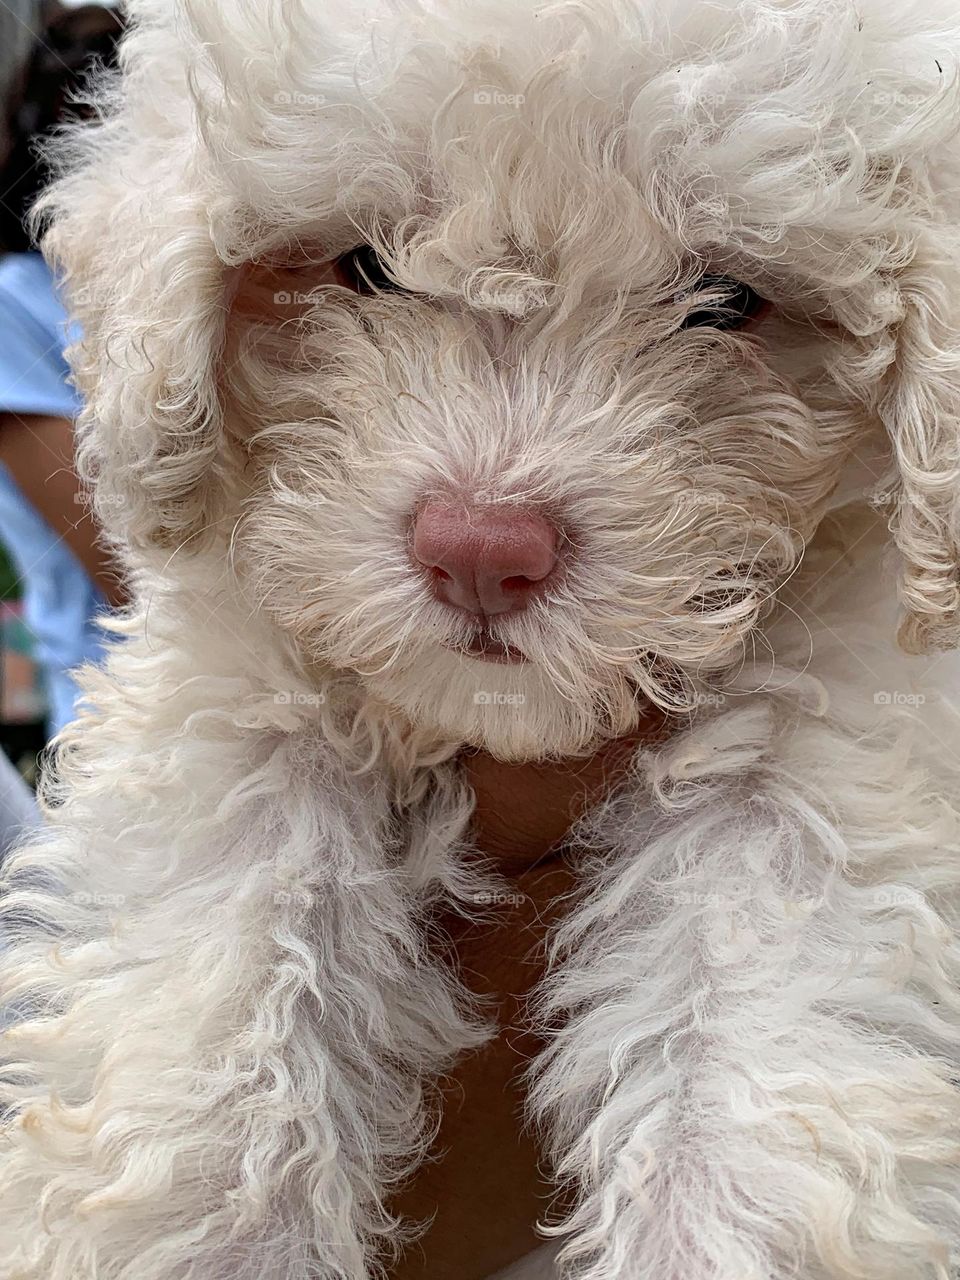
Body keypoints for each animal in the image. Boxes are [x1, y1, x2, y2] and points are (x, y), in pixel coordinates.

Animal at [1, 0, 960, 1274]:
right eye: (365, 266)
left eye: (723, 297)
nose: (481, 547)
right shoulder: (236, 687)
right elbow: (228, 971)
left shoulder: (826, 748)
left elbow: (758, 1021)